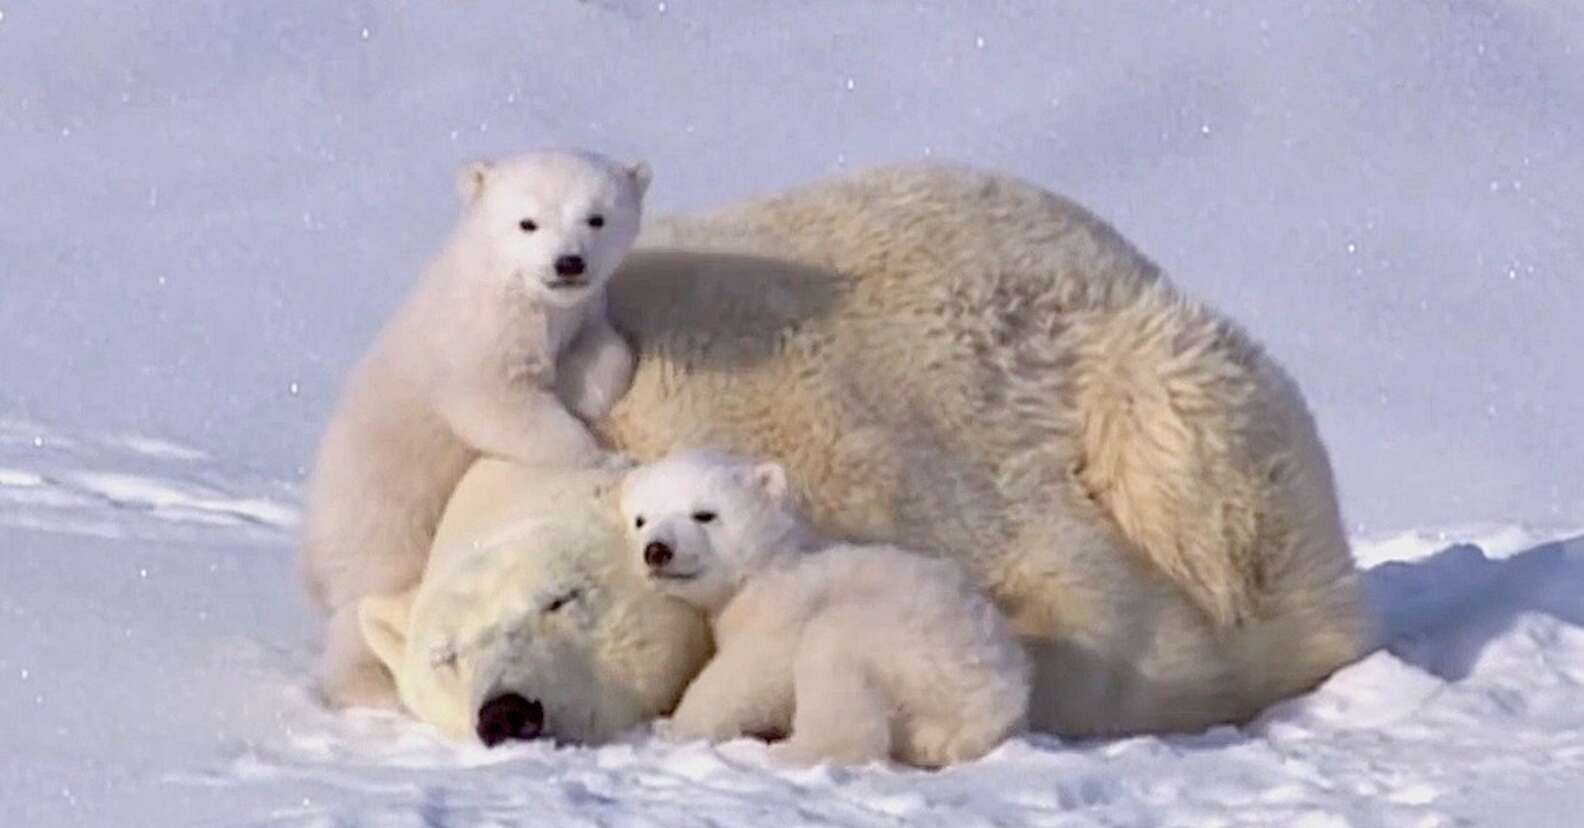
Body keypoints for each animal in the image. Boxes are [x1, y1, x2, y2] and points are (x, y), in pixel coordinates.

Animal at [376, 162, 1368, 737]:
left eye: (563, 599)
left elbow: (1089, 612)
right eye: (444, 657)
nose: (507, 711)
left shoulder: (859, 445)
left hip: (1168, 392)